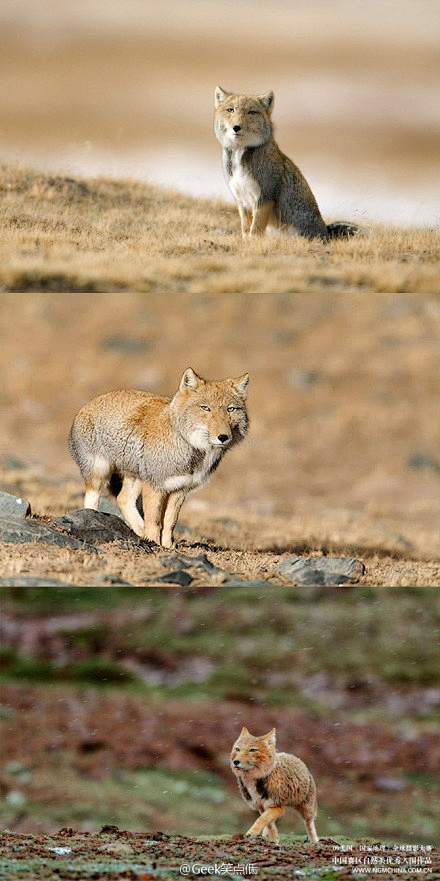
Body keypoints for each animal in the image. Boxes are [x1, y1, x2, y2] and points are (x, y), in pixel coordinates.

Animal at [68, 366, 248, 548]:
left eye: (230, 409)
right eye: (205, 408)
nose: (223, 437)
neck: (189, 447)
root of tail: (88, 404)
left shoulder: (179, 489)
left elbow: (169, 522)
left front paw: (167, 546)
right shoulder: (155, 486)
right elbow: (154, 521)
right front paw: (154, 543)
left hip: (136, 478)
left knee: (123, 499)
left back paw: (140, 531)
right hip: (100, 474)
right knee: (92, 500)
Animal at [215, 85, 360, 241]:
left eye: (251, 112)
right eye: (230, 110)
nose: (236, 127)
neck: (240, 155)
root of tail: (326, 234)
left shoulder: (264, 198)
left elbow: (256, 230)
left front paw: (252, 242)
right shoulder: (242, 201)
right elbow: (246, 229)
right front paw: (246, 241)